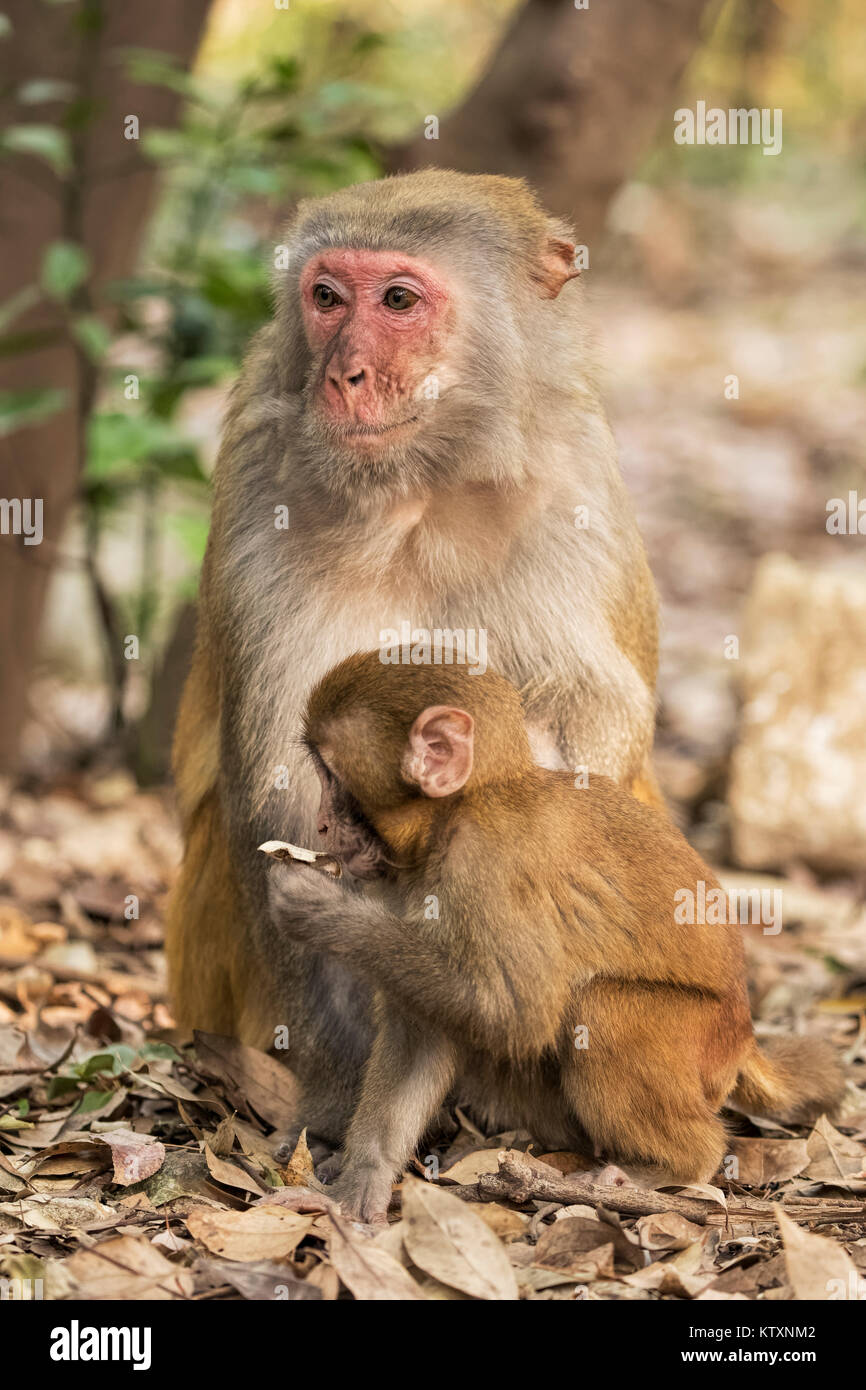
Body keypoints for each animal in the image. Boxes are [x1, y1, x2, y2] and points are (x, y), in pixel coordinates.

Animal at [165, 169, 661, 1149]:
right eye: (326, 298)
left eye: (398, 301)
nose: (342, 375)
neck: (423, 485)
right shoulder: (260, 479)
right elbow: (282, 797)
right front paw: (337, 1100)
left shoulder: (574, 478)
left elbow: (598, 718)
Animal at [264, 651, 846, 1223]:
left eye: (331, 776)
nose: (320, 824)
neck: (463, 807)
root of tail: (743, 1034)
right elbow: (424, 1030)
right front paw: (359, 1182)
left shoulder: (490, 863)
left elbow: (515, 1011)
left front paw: (323, 911)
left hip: (700, 1041)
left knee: (600, 1009)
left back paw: (666, 1166)